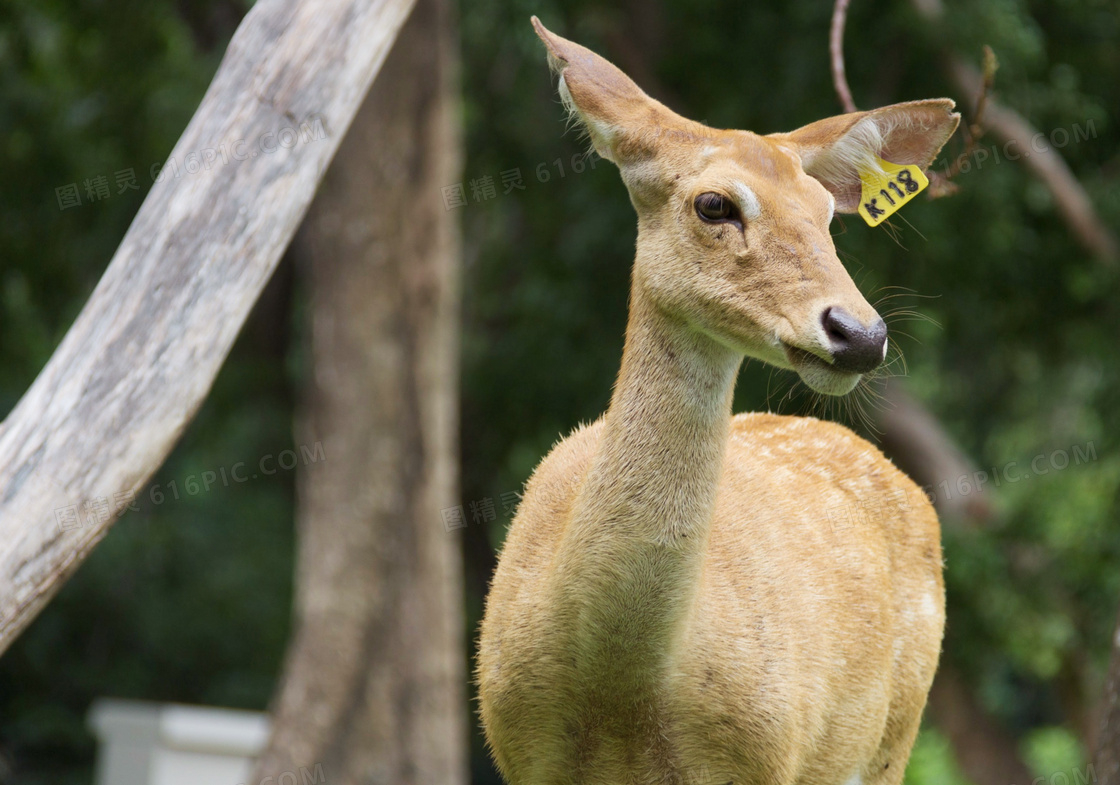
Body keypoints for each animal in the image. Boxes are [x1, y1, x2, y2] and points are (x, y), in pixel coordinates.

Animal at [477, 18, 958, 783]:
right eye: (714, 204)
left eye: (827, 214)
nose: (860, 333)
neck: (619, 686)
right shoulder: (518, 750)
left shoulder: (762, 758)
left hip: (891, 741)